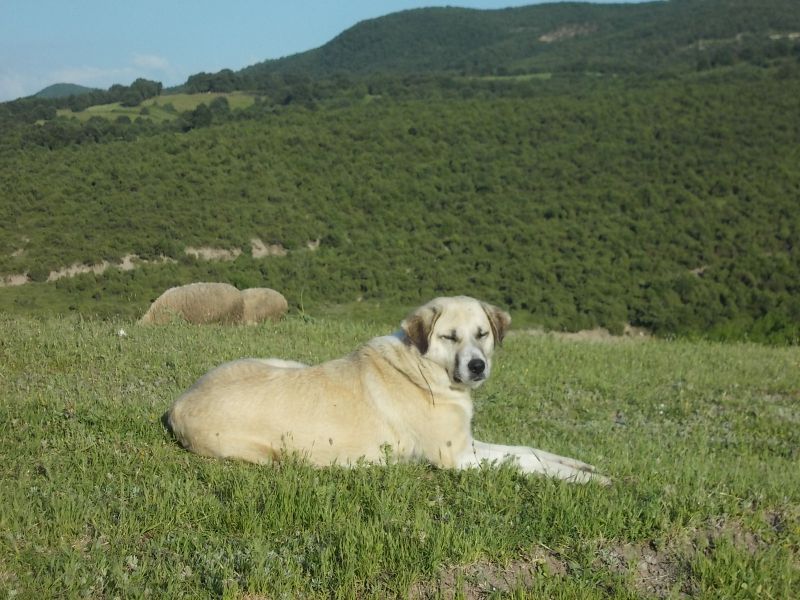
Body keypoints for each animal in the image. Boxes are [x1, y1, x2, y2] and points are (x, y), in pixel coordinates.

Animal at [166, 298, 608, 486]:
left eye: (482, 334)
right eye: (450, 336)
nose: (477, 366)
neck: (425, 368)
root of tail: (177, 405)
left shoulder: (469, 443)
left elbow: (526, 450)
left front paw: (581, 465)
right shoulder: (456, 458)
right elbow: (524, 462)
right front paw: (584, 480)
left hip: (283, 362)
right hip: (268, 453)